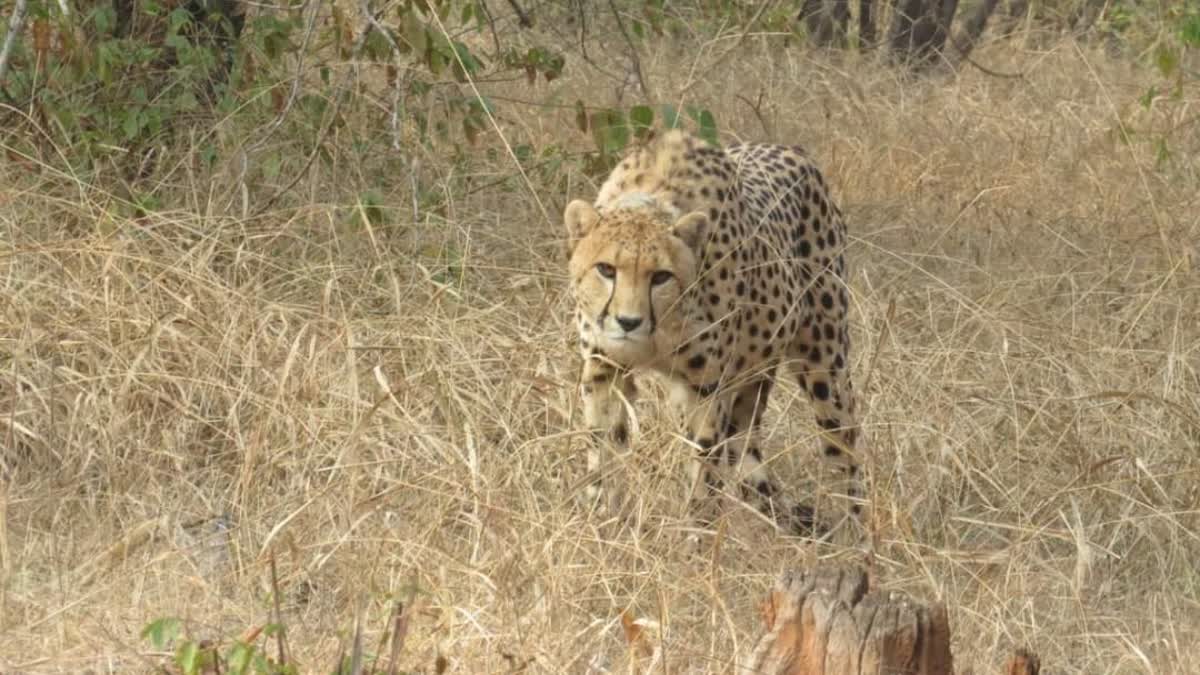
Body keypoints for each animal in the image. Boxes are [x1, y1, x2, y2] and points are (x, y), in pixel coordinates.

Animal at [564, 127, 864, 535]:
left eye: (661, 276)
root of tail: (793, 149)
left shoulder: (705, 387)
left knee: (843, 450)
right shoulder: (603, 368)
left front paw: (698, 533)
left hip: (823, 360)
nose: (628, 322)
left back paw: (856, 533)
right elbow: (603, 445)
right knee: (747, 449)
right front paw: (600, 519)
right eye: (606, 269)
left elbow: (704, 466)